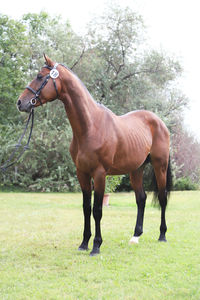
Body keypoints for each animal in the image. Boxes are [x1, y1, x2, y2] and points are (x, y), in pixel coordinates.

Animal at [17, 54, 172, 255]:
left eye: (39, 76)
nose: (20, 102)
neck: (90, 126)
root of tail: (159, 122)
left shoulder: (99, 174)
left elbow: (97, 209)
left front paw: (96, 246)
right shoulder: (82, 173)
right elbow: (86, 208)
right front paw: (84, 243)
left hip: (160, 166)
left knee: (162, 198)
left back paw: (162, 235)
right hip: (136, 170)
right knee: (141, 199)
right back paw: (135, 236)